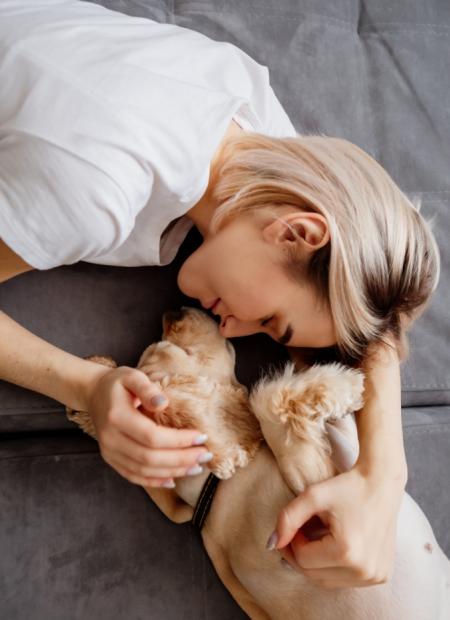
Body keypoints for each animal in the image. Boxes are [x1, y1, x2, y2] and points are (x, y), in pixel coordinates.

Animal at [67, 306, 450, 620]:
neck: (215, 486)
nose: (173, 311)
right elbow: (267, 402)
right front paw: (344, 383)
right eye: (177, 350)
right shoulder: (313, 503)